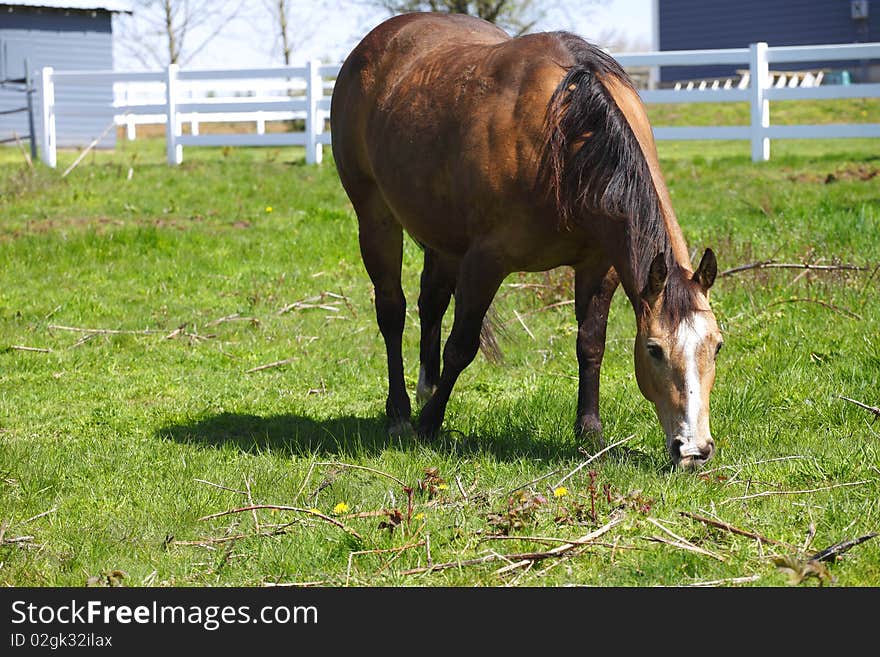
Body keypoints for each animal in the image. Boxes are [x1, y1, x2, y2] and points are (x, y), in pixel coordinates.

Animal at [330, 12, 720, 468]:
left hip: (441, 237)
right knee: (392, 311)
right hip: (375, 218)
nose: (693, 450)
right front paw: (429, 424)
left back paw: (426, 386)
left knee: (431, 301)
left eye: (716, 346)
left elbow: (591, 344)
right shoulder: (485, 262)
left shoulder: (600, 265)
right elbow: (461, 346)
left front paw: (589, 430)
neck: (567, 141)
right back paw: (400, 414)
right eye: (655, 349)